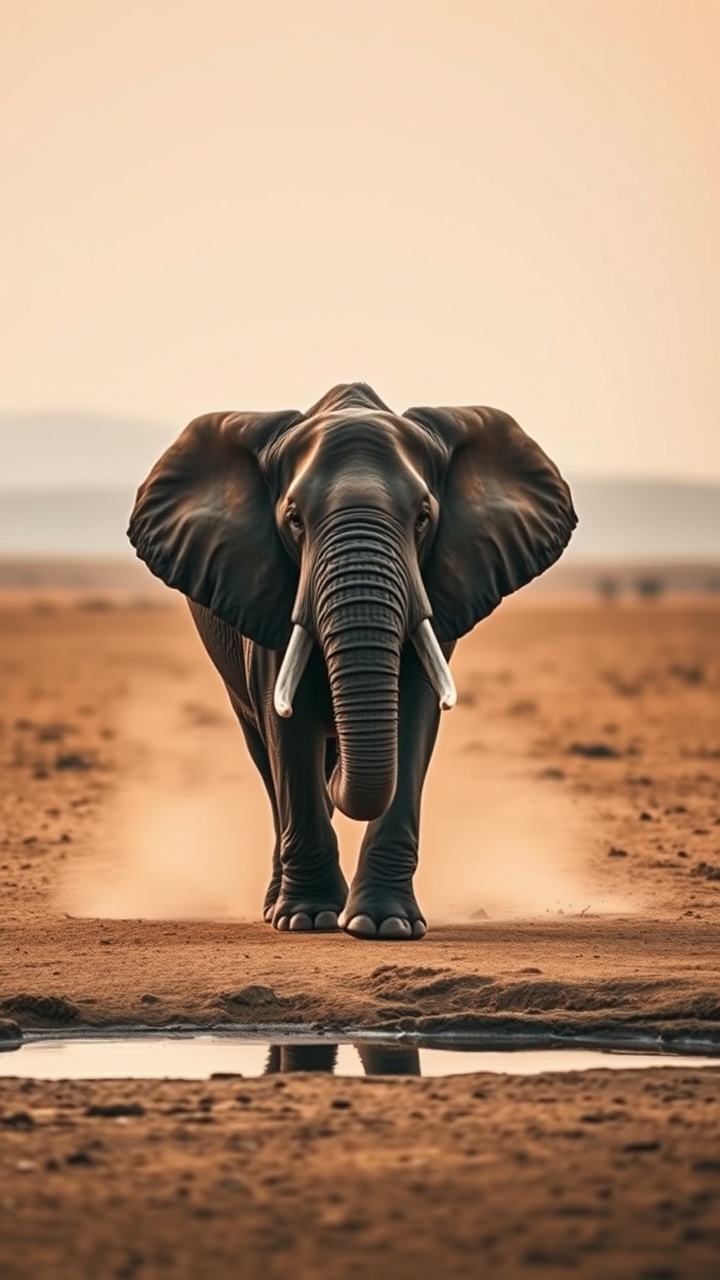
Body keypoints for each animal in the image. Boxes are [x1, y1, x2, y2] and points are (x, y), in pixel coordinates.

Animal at [128, 383, 576, 940]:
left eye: (423, 517)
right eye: (294, 519)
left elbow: (413, 716)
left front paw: (386, 925)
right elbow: (286, 729)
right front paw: (309, 919)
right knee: (266, 760)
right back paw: (276, 906)